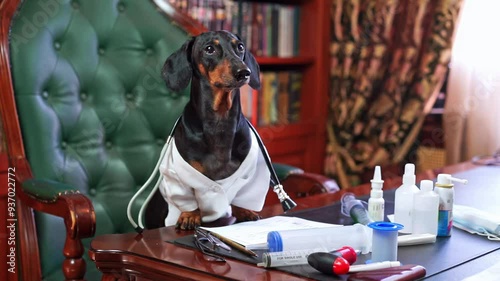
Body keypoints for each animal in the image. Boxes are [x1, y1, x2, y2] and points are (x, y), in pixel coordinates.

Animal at [159, 30, 270, 229]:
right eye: (209, 49)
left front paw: (244, 212)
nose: (244, 72)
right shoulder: (177, 174)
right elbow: (187, 198)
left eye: (240, 47)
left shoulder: (252, 173)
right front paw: (190, 216)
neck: (220, 119)